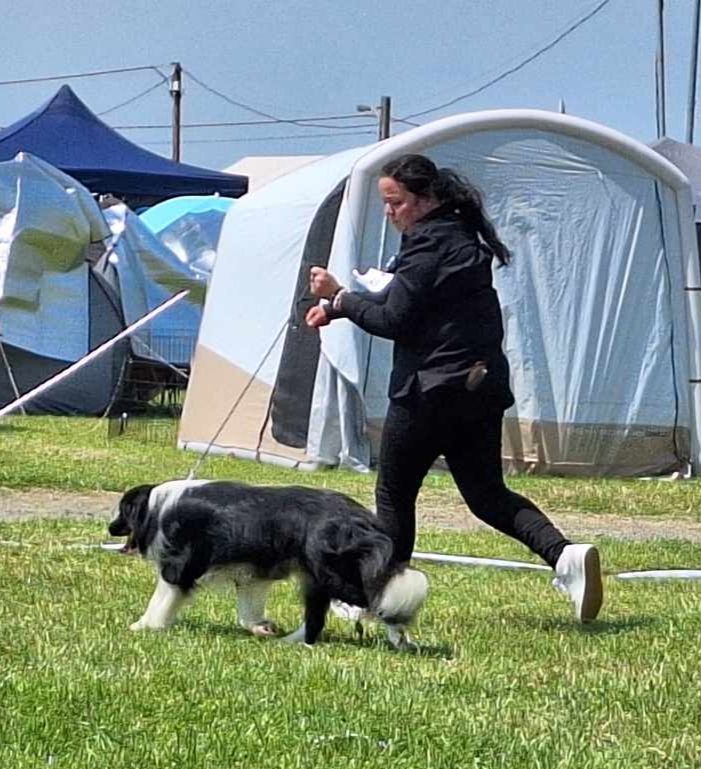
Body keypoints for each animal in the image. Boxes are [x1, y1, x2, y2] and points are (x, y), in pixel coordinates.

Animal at [108, 480, 426, 648]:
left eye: (122, 511)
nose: (110, 528)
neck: (156, 507)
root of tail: (358, 516)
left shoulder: (177, 569)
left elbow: (160, 600)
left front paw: (144, 626)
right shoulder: (252, 576)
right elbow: (247, 613)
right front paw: (263, 628)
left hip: (332, 576)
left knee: (378, 598)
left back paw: (399, 636)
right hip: (316, 577)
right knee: (316, 618)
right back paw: (290, 642)